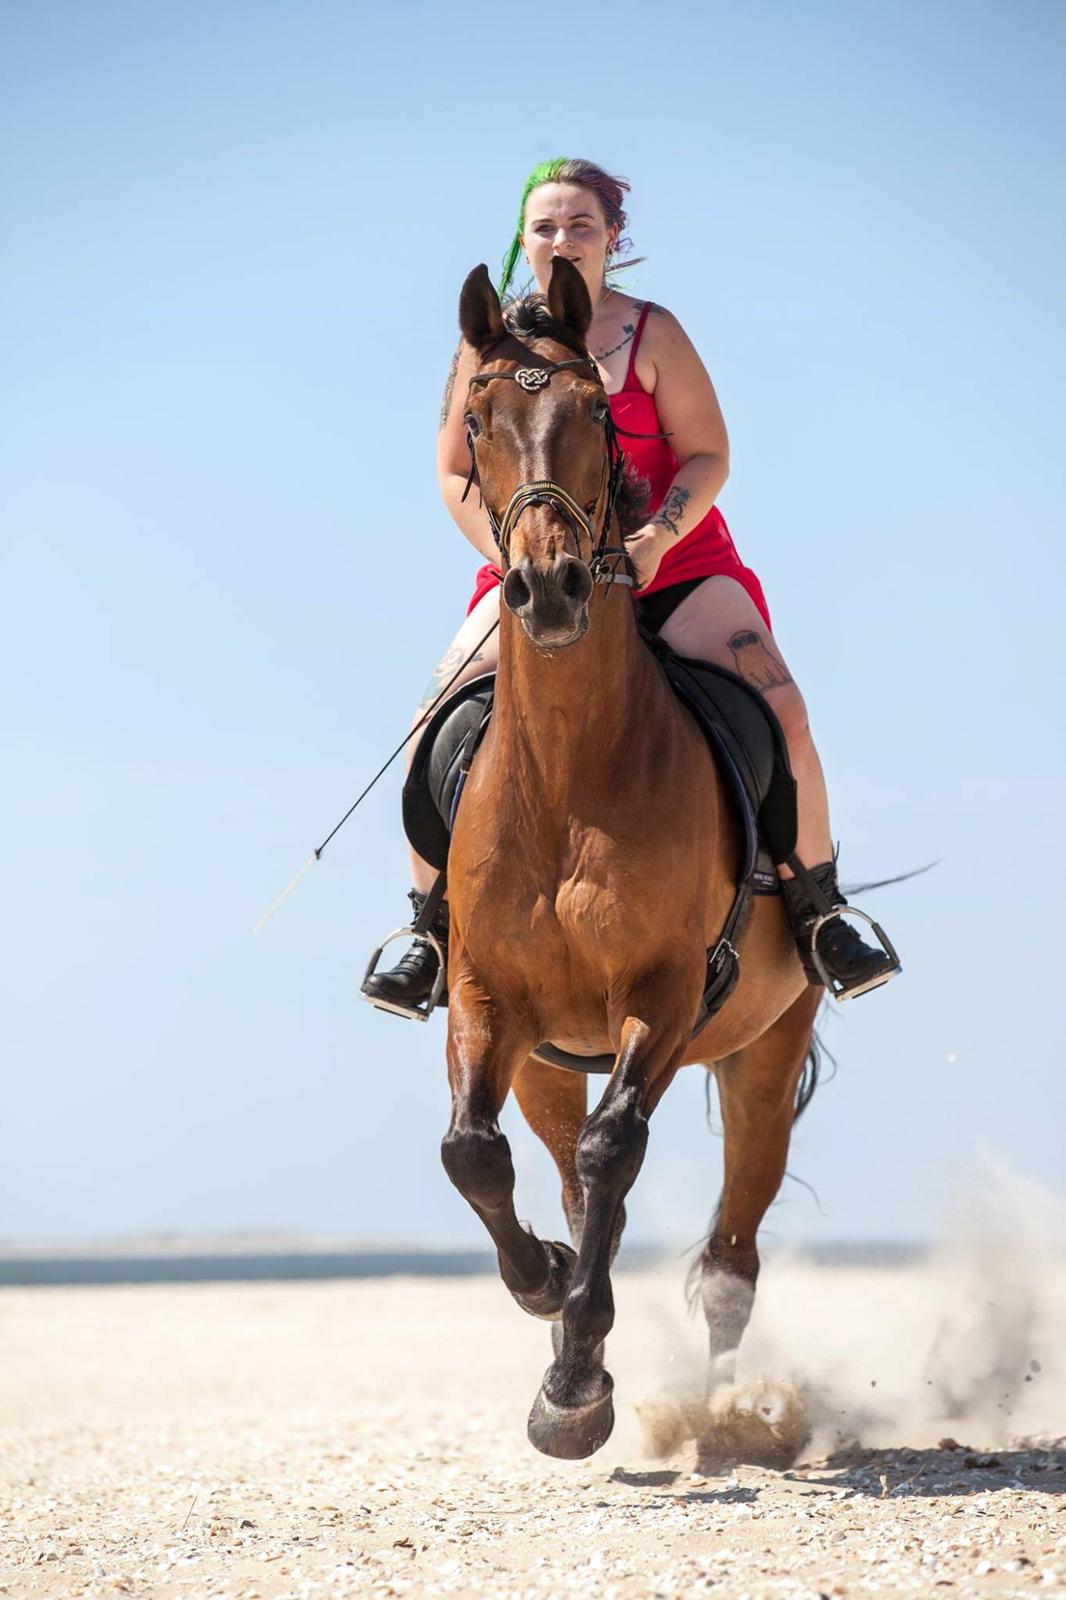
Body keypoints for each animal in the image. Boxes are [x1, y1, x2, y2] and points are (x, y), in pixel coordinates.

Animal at [435, 259, 816, 1465]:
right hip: (551, 1061)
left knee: (731, 1257)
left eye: (597, 413)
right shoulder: (487, 997)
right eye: (477, 420)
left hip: (764, 1058)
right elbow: (474, 1154)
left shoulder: (664, 990)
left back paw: (729, 1413)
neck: (569, 773)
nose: (549, 588)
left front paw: (572, 1389)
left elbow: (616, 1154)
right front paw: (550, 1300)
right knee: (554, 1175)